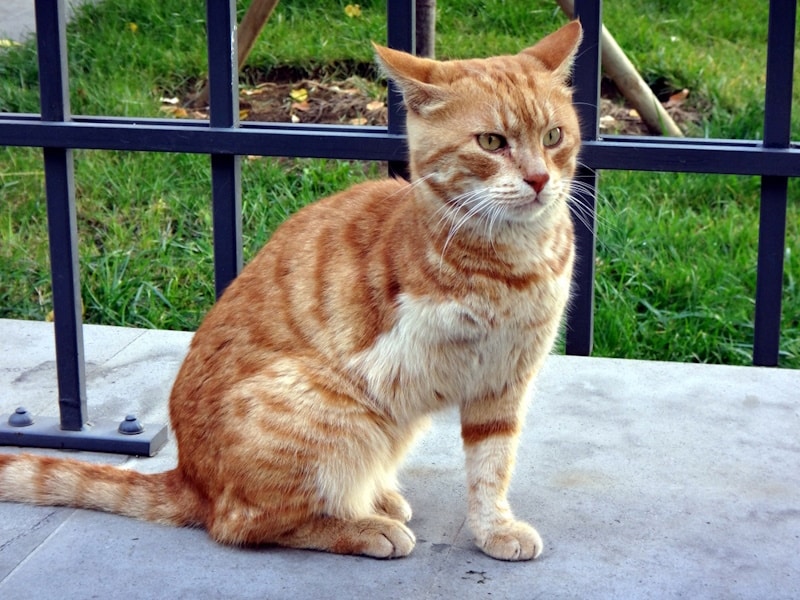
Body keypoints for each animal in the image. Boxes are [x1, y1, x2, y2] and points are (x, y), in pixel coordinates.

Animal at [0, 19, 580, 564]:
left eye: (553, 137)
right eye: (492, 142)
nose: (538, 180)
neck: (517, 261)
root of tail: (189, 477)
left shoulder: (505, 379)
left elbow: (492, 466)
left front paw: (494, 528)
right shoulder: (439, 362)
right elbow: (487, 464)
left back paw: (379, 498)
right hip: (340, 407)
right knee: (244, 523)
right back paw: (364, 525)